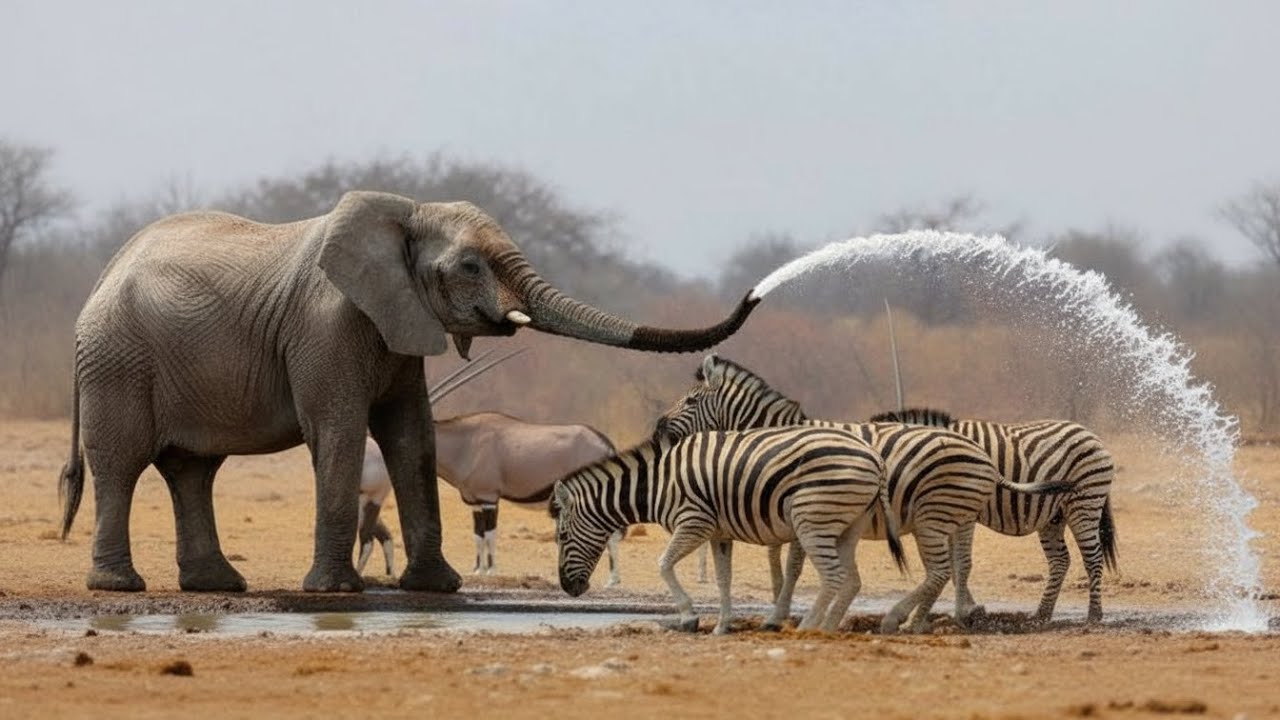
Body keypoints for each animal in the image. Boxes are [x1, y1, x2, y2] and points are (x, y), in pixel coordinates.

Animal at [57, 190, 760, 594]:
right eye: (471, 266)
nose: (753, 294)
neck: (403, 215)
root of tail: (102, 273)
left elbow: (410, 435)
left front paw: (437, 589)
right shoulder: (327, 323)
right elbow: (340, 431)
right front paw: (336, 594)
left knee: (192, 470)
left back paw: (217, 589)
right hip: (116, 359)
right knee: (122, 464)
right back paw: (118, 588)